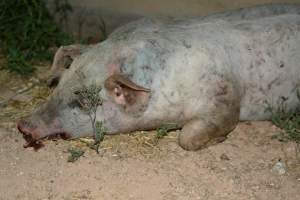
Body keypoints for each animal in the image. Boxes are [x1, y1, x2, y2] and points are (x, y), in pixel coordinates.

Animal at [18, 3, 300, 150]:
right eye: (59, 85)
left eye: (82, 102)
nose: (23, 124)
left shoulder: (225, 96)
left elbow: (187, 138)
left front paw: (219, 139)